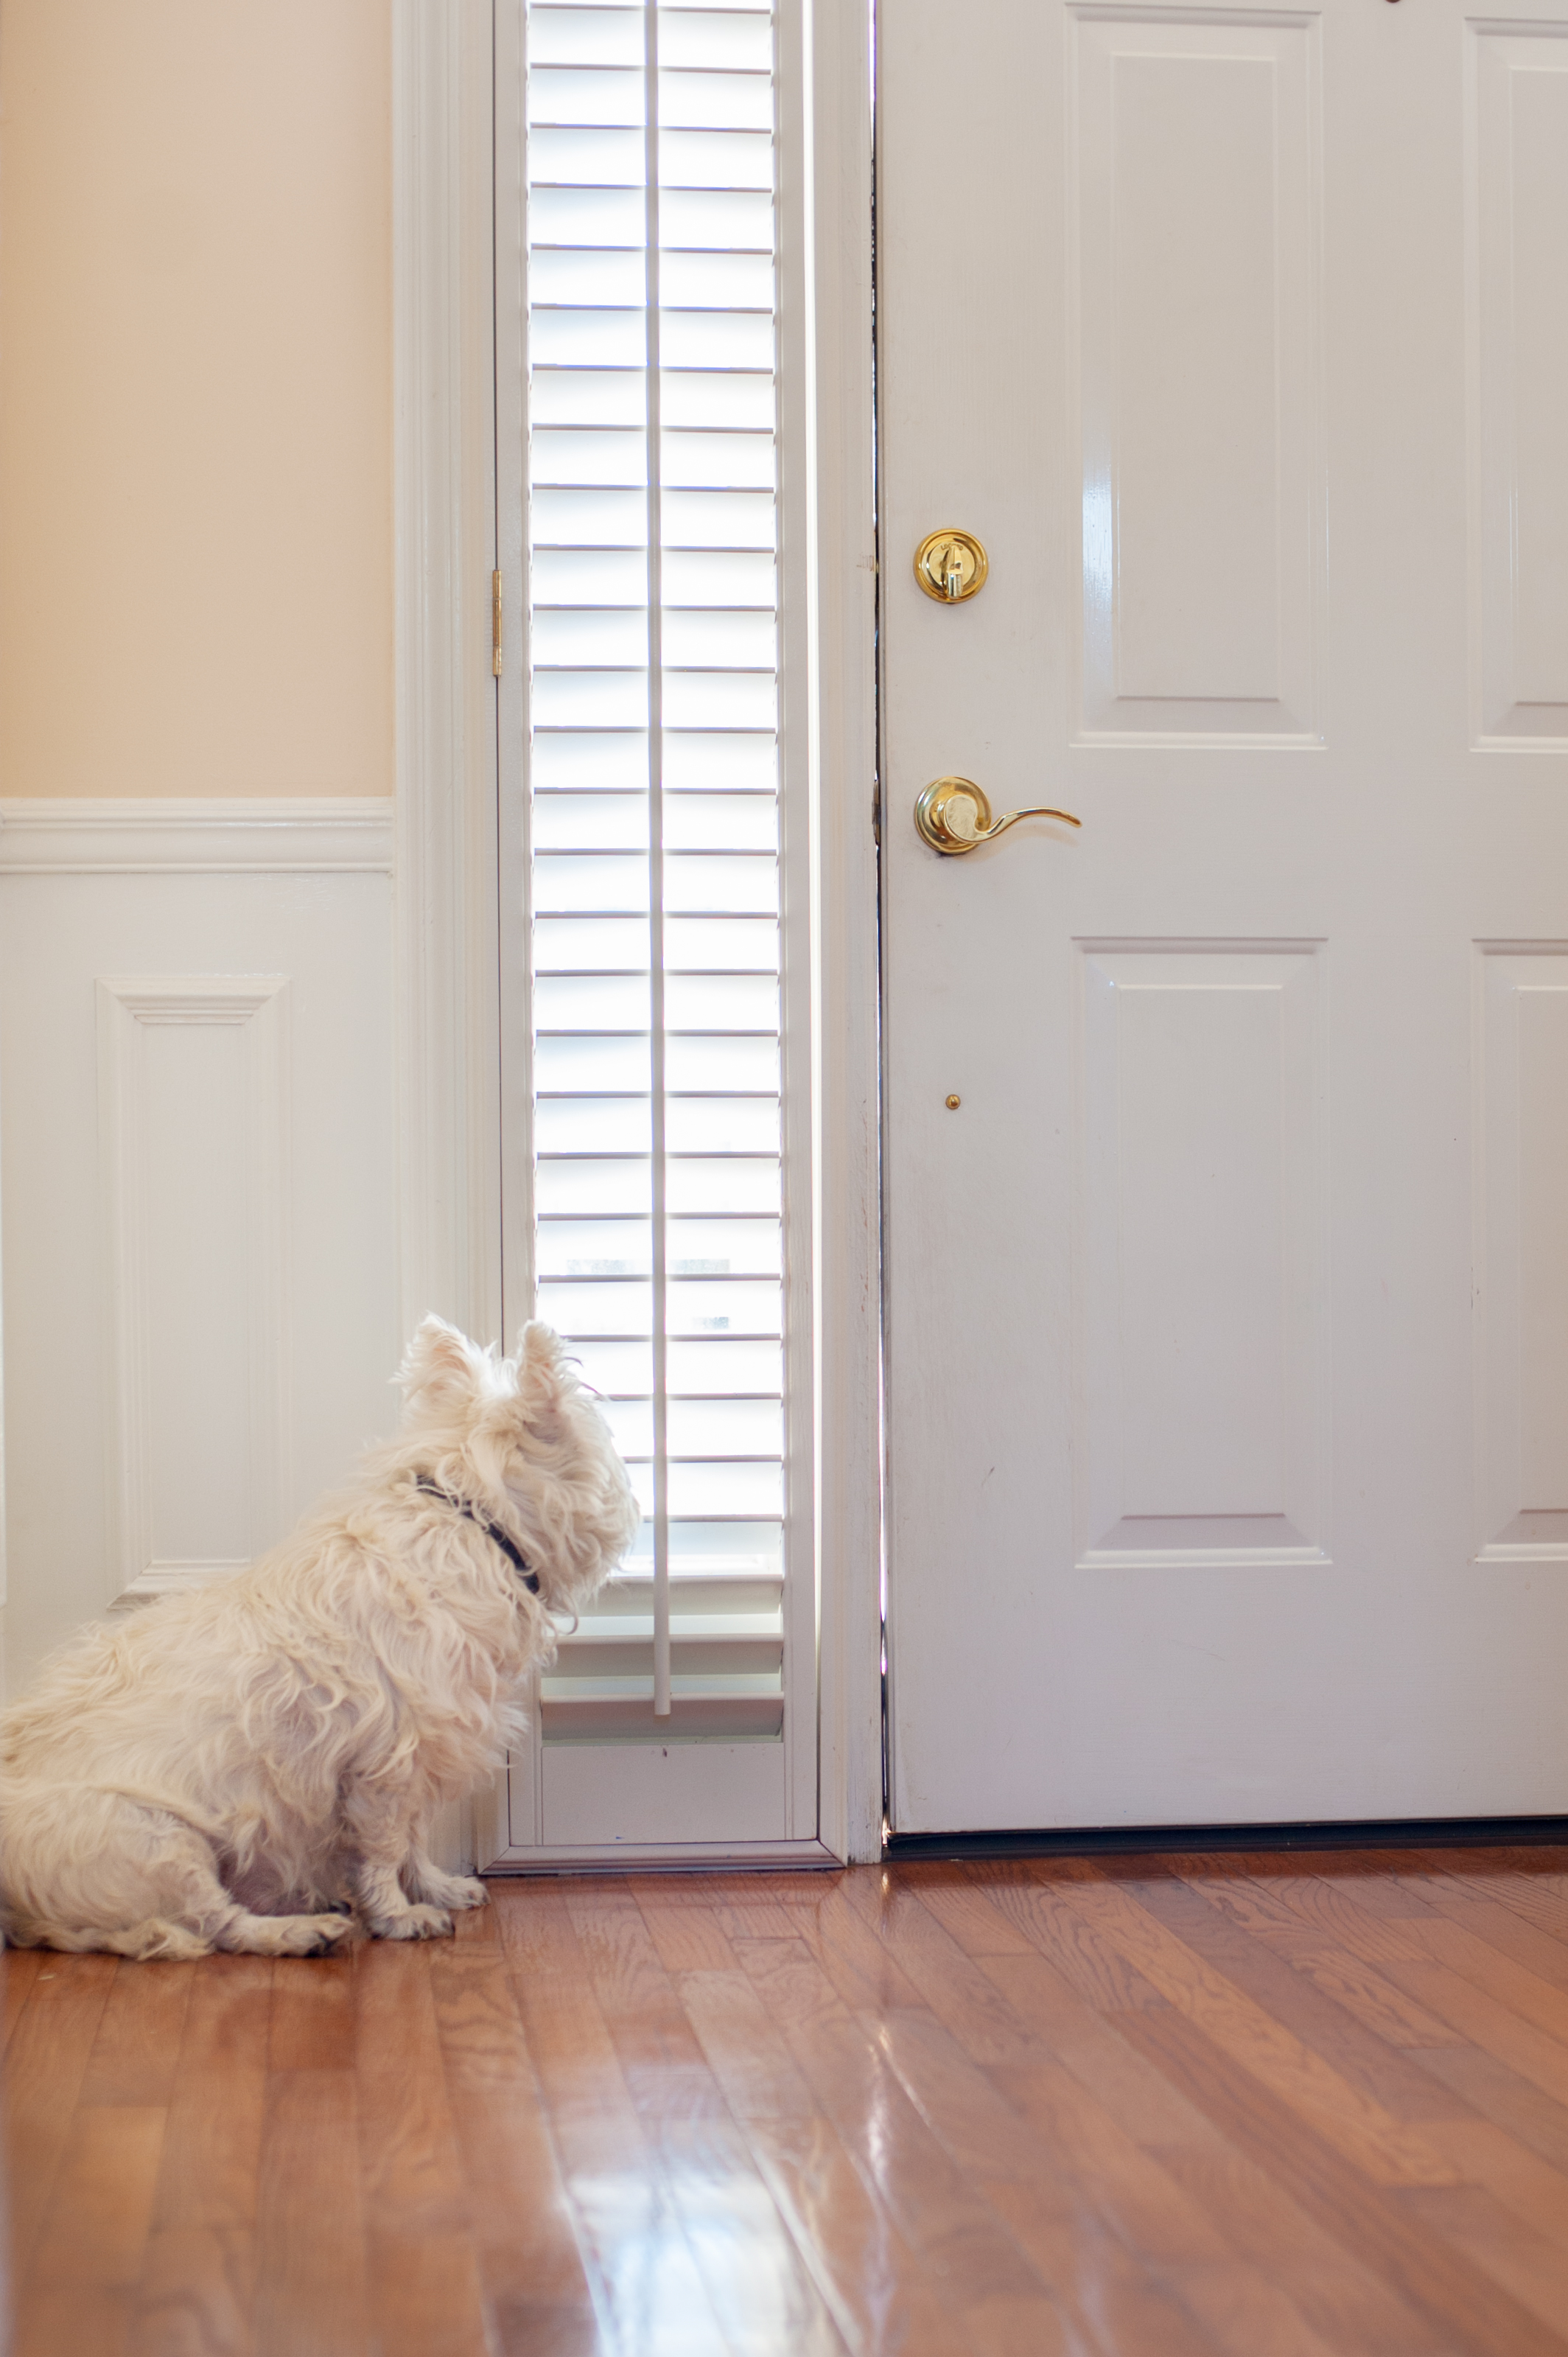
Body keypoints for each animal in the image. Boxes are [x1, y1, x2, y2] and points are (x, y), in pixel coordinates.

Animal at [1, 1319, 637, 1960]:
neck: (470, 1519)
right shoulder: (387, 1762)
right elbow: (386, 1848)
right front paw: (399, 1916)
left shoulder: (416, 1756)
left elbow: (414, 1840)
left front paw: (436, 1888)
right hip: (156, 1839)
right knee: (217, 1924)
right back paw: (299, 1930)